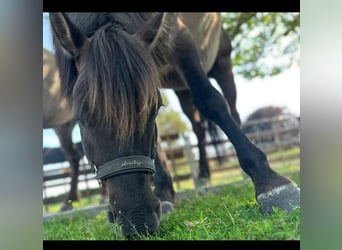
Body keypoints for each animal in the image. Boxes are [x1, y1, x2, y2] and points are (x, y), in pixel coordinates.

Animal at [48, 13, 300, 238]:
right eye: (80, 115)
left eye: (154, 108)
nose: (136, 219)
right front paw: (165, 193)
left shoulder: (181, 40)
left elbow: (210, 99)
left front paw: (271, 184)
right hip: (180, 88)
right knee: (198, 128)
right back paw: (203, 175)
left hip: (222, 63)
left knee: (231, 110)